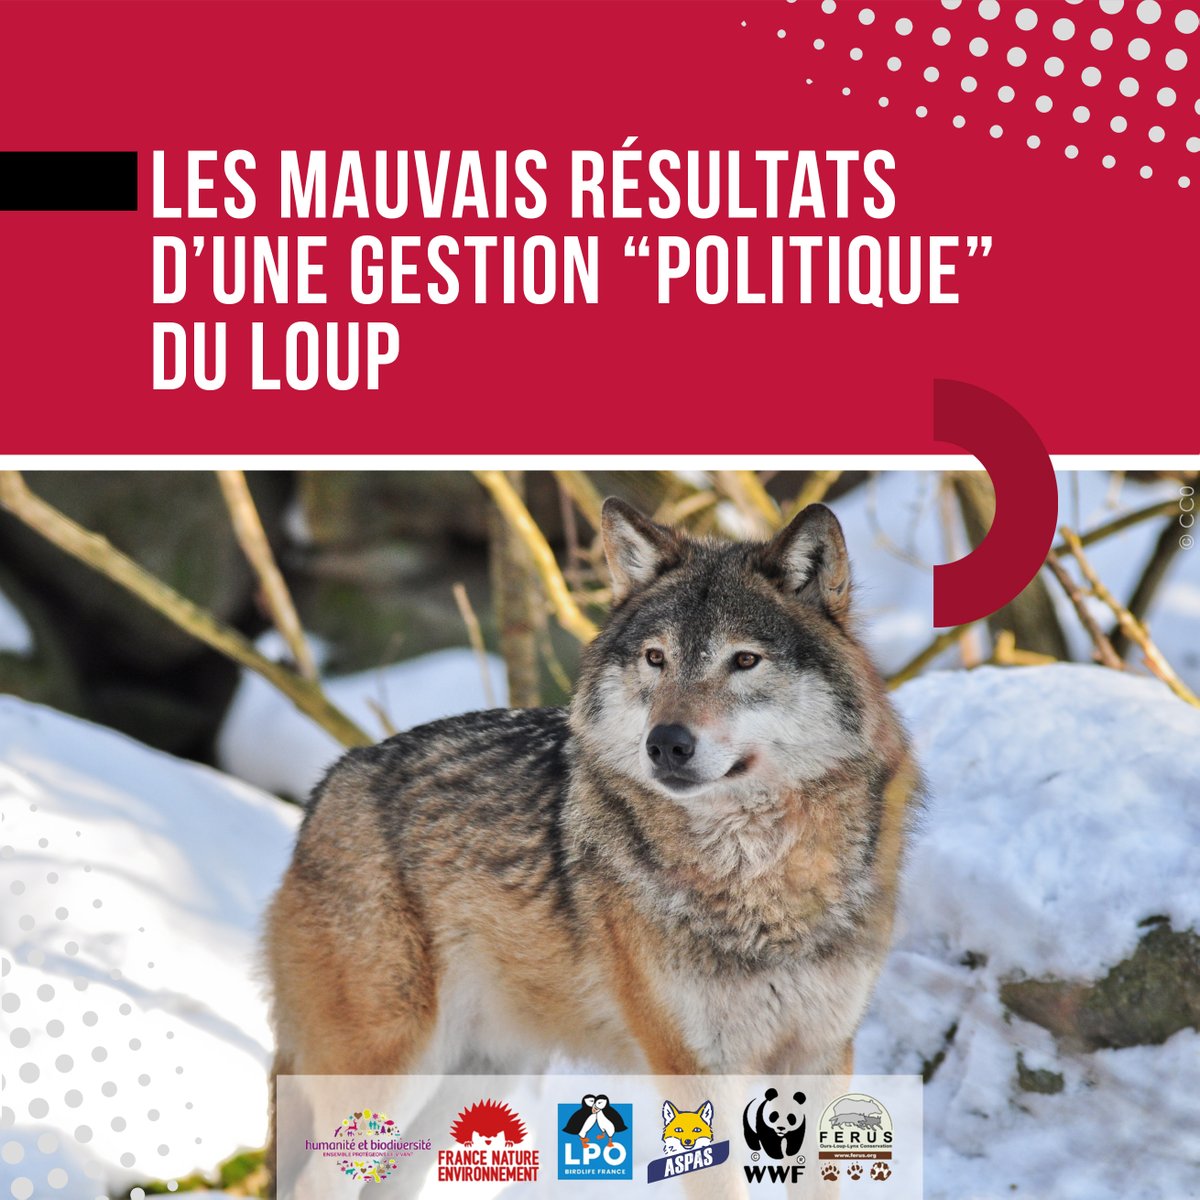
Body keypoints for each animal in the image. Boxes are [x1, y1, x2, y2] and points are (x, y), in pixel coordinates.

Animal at [265, 498, 922, 1193]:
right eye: (656, 658)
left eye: (744, 661)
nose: (666, 743)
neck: (758, 882)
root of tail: (331, 782)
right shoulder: (694, 1069)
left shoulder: (822, 1057)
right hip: (391, 1069)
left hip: (469, 1082)